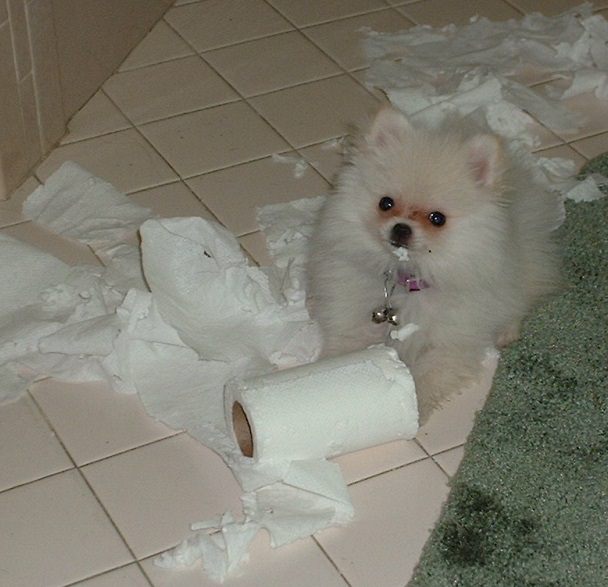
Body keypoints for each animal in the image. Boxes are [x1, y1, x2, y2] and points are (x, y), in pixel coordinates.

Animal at [308, 108, 560, 422]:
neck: (407, 279)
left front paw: (412, 410)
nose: (401, 228)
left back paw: (506, 330)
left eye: (437, 218)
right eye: (385, 203)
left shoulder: (449, 344)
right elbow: (345, 354)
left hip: (522, 267)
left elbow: (424, 378)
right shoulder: (353, 321)